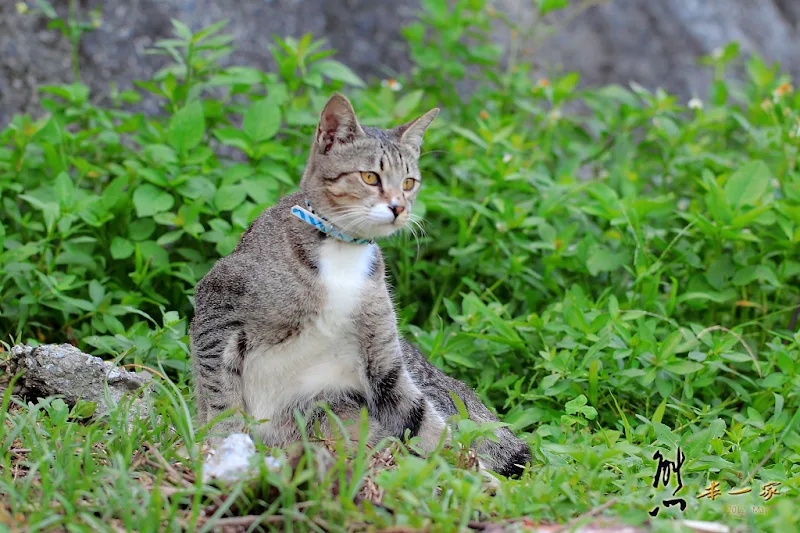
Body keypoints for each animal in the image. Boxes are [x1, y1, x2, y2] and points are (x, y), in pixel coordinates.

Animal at [191, 93, 532, 476]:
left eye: (409, 182)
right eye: (370, 177)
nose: (399, 207)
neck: (343, 249)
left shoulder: (385, 365)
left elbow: (427, 425)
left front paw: (477, 478)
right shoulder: (217, 307)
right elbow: (222, 394)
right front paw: (223, 440)